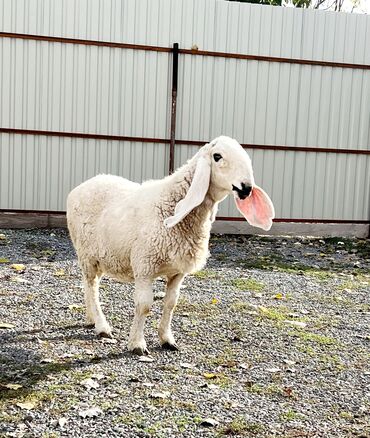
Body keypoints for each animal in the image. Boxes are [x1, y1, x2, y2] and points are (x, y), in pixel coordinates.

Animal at [66, 135, 274, 354]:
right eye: (217, 156)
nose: (246, 188)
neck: (170, 203)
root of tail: (81, 186)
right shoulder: (144, 266)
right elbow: (144, 305)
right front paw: (137, 344)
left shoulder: (177, 272)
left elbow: (171, 303)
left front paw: (167, 339)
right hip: (86, 253)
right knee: (92, 286)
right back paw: (102, 325)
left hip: (99, 255)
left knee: (90, 284)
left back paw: (91, 319)